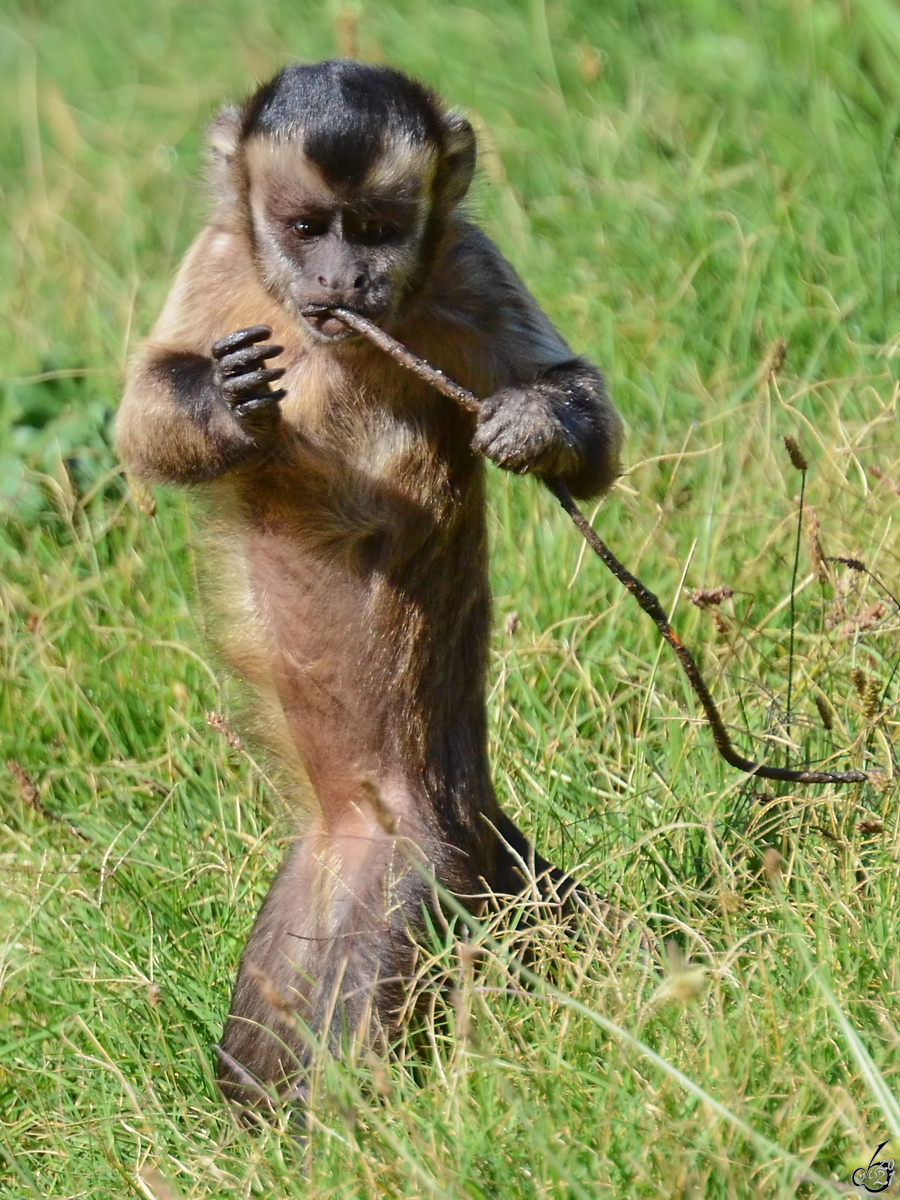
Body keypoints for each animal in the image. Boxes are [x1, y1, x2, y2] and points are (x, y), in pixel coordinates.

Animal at [116, 60, 624, 1108]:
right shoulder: (217, 257)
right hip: (319, 877)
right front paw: (223, 403)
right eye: (309, 226)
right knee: (261, 1046)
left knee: (354, 1036)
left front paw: (532, 423)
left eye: (379, 228)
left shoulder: (470, 264)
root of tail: (473, 817)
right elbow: (142, 415)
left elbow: (589, 427)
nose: (342, 281)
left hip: (411, 872)